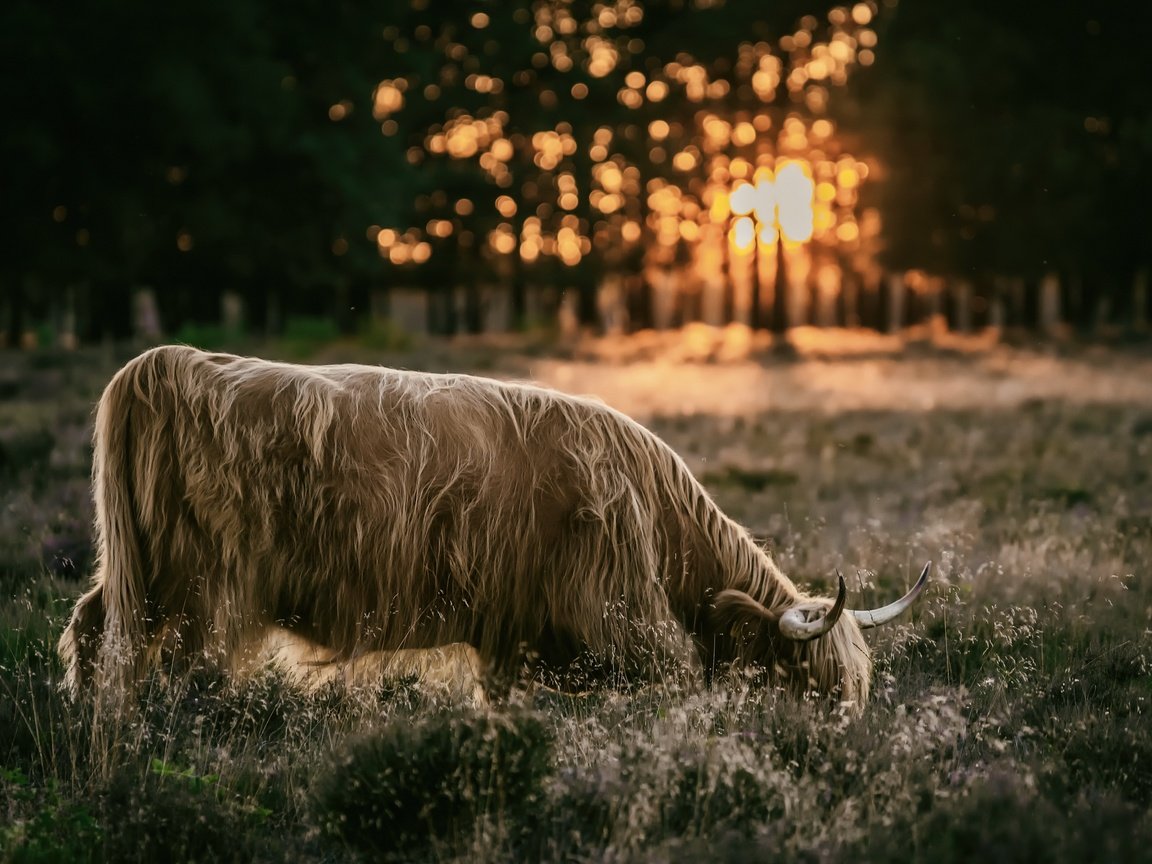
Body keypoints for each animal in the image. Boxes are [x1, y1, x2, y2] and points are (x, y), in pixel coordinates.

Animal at [60, 345, 926, 709]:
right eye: (810, 682)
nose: (840, 751)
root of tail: (165, 364)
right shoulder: (623, 624)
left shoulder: (514, 639)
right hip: (198, 585)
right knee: (173, 669)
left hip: (142, 572)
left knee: (92, 632)